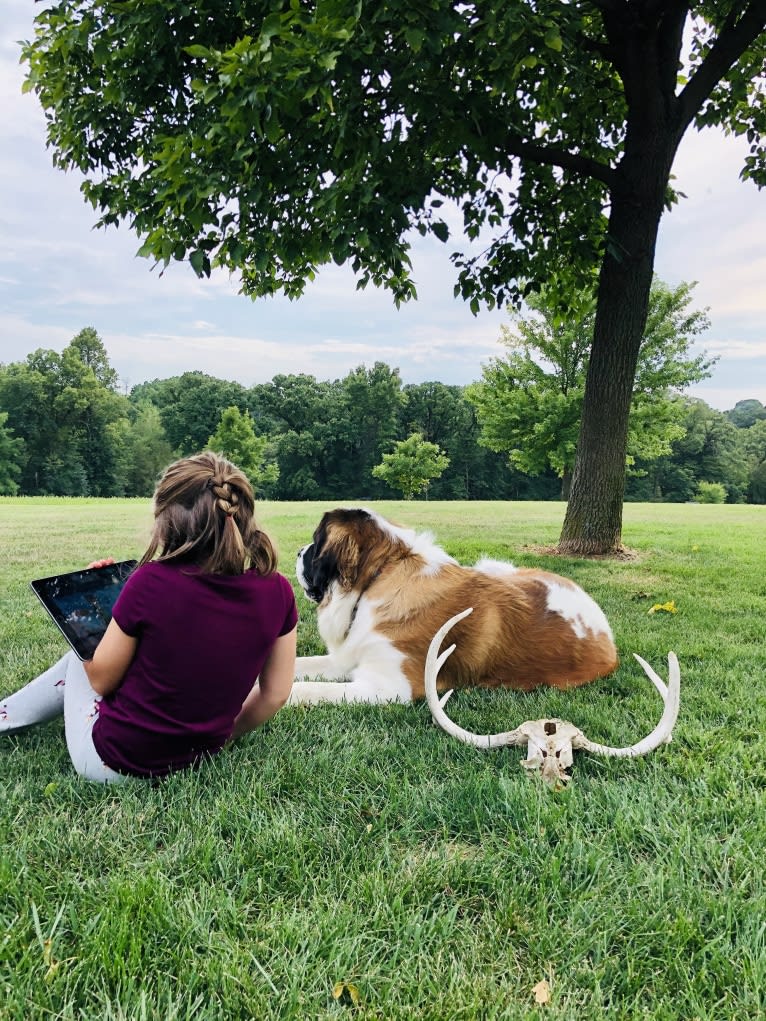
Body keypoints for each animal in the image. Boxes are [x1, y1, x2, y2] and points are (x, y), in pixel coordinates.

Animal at [290, 508, 620, 706]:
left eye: (315, 542)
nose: (297, 551)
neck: (382, 576)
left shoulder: (389, 687)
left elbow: (307, 689)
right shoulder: (348, 659)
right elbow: (301, 665)